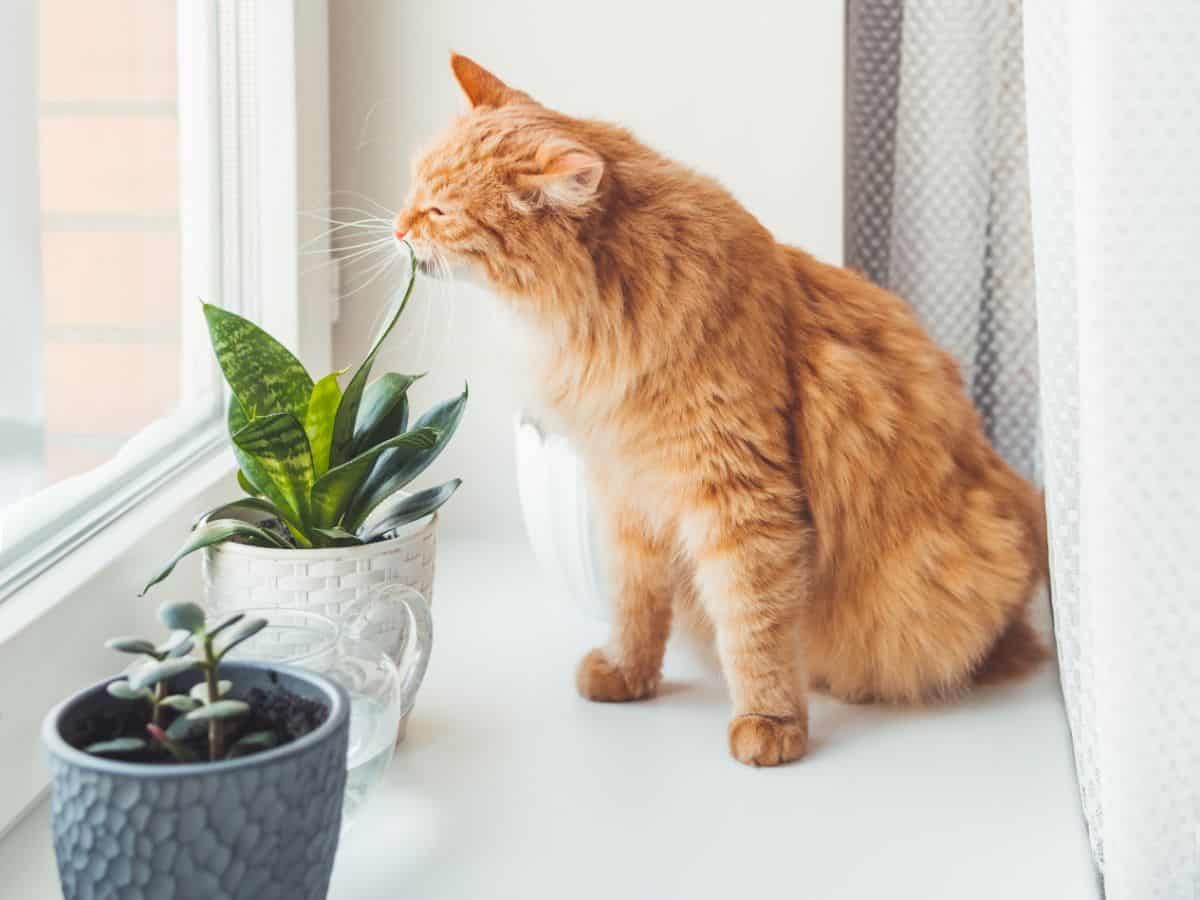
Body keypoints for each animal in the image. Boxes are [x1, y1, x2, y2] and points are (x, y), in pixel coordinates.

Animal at [391, 54, 1041, 768]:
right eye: (413, 187)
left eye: (439, 209)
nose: (397, 229)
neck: (603, 312)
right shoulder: (626, 492)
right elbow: (636, 605)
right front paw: (628, 675)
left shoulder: (738, 497)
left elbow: (754, 625)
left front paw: (771, 722)